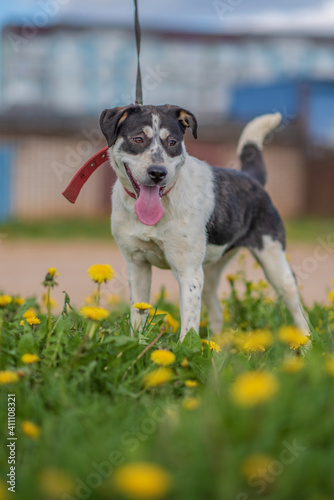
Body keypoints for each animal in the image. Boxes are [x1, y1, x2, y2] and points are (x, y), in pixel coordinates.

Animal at [100, 104, 310, 342]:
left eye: (172, 142)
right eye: (138, 139)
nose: (158, 173)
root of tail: (252, 179)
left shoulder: (189, 272)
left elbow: (189, 326)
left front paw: (184, 348)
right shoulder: (137, 265)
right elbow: (138, 315)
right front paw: (137, 342)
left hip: (276, 266)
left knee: (300, 313)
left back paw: (306, 343)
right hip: (211, 272)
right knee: (217, 312)